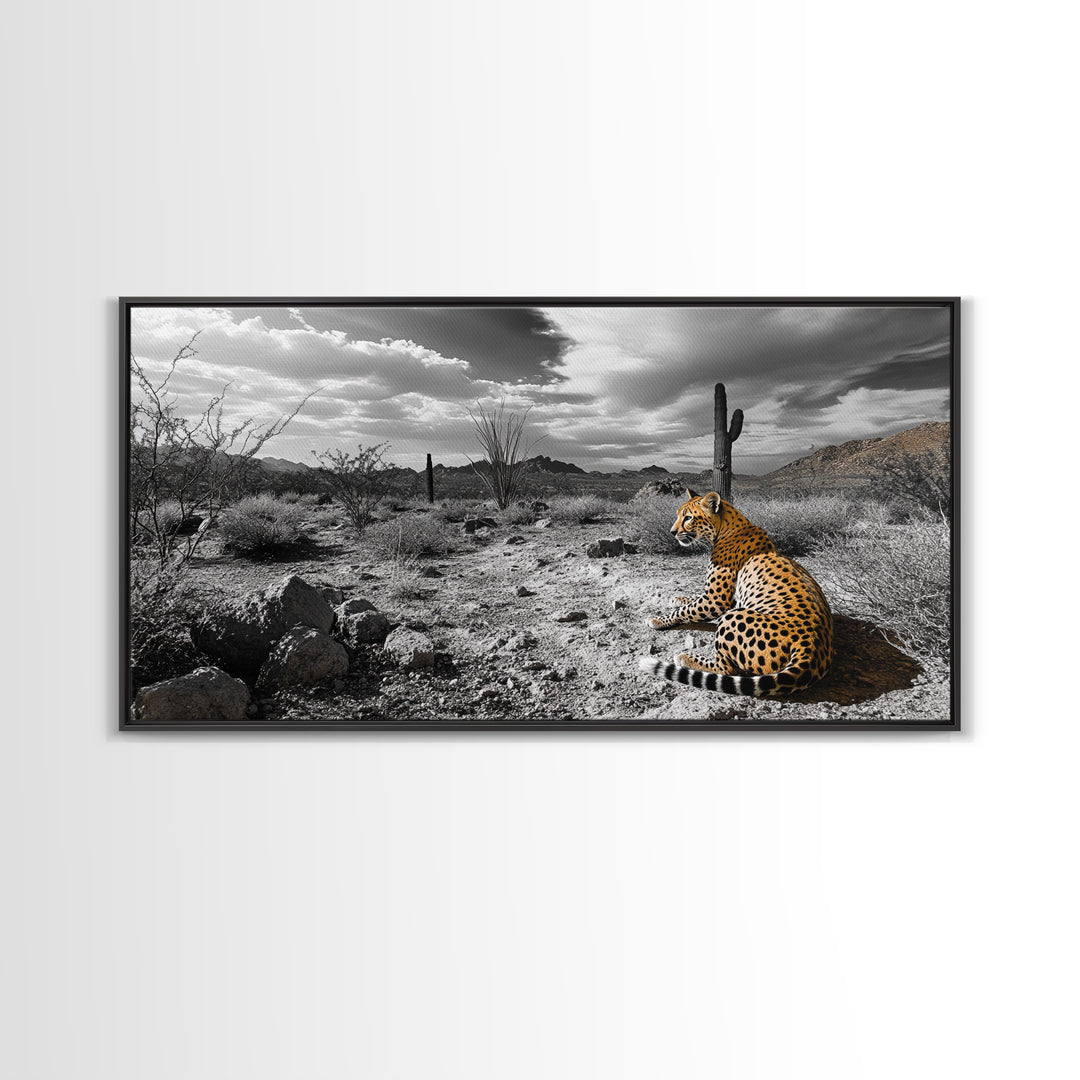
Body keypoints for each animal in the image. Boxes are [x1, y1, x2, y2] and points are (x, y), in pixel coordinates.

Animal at [638, 489, 833, 697]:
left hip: (732, 617)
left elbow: (686, 611)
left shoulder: (716, 600)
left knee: (726, 669)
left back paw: (686, 657)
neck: (726, 528)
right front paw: (678, 599)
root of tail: (813, 646)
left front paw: (658, 620)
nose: (672, 532)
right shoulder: (723, 598)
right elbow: (691, 601)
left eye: (688, 517)